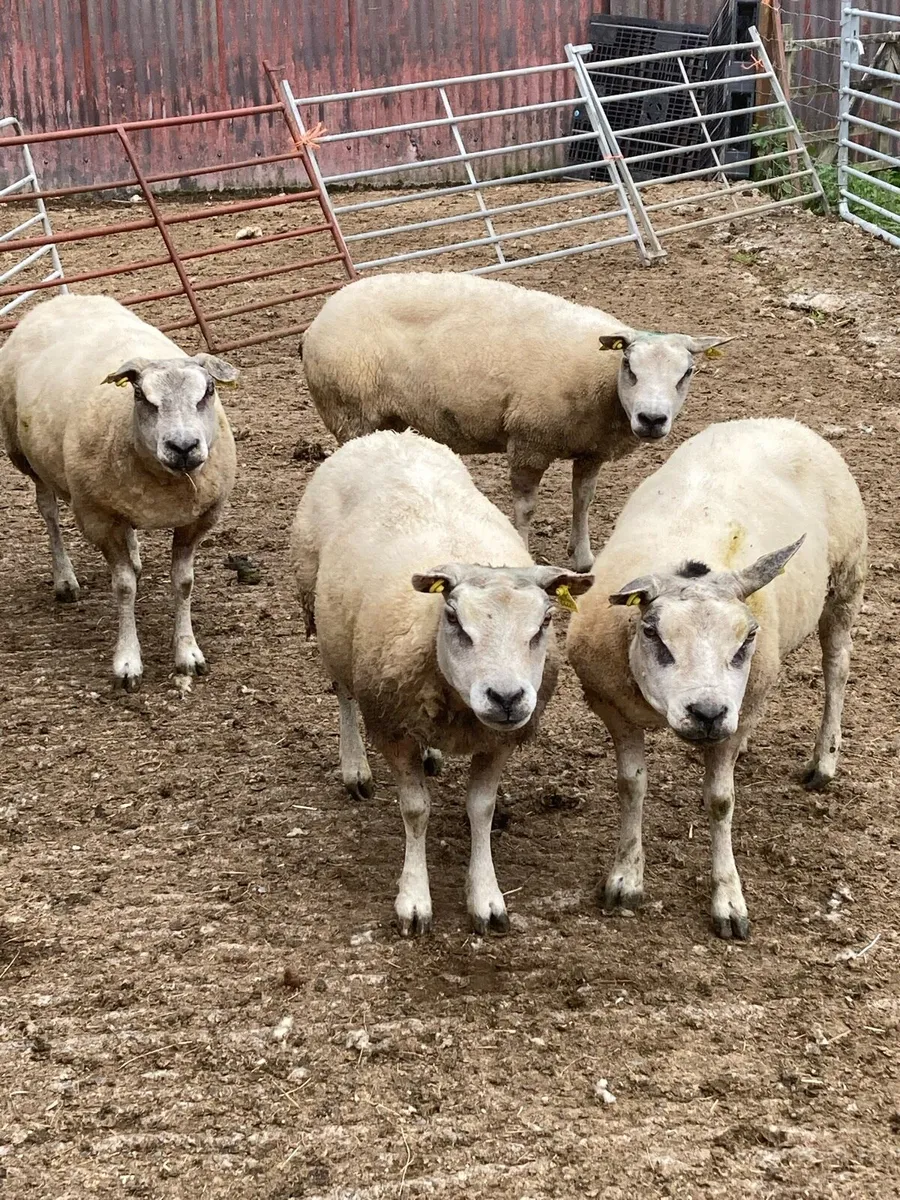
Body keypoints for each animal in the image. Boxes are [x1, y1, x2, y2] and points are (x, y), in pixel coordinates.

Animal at [0, 294, 238, 690]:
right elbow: (124, 587)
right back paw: (65, 580)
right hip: (27, 458)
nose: (184, 446)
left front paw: (188, 653)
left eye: (208, 391)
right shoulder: (98, 519)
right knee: (48, 512)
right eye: (141, 395)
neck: (164, 481)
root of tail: (66, 296)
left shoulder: (197, 519)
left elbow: (184, 583)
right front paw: (128, 662)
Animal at [289, 429, 593, 936]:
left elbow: (481, 810)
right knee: (344, 696)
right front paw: (413, 900)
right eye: (453, 618)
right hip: (326, 618)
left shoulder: (499, 740)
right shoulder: (391, 726)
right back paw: (354, 768)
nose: (506, 697)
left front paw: (486, 898)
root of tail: (387, 435)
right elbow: (416, 810)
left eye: (546, 622)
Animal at [300, 271, 732, 572]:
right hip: (349, 412)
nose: (652, 419)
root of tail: (320, 316)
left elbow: (583, 500)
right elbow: (526, 508)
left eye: (687, 372)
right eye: (628, 365)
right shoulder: (528, 441)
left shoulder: (591, 449)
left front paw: (583, 556)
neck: (601, 381)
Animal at [566, 418, 867, 940]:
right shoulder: (613, 707)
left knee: (837, 668)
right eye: (652, 632)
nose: (707, 712)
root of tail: (773, 421)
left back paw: (823, 760)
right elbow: (631, 787)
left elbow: (721, 802)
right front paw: (625, 879)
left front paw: (728, 900)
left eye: (748, 636)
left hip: (846, 580)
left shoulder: (738, 710)